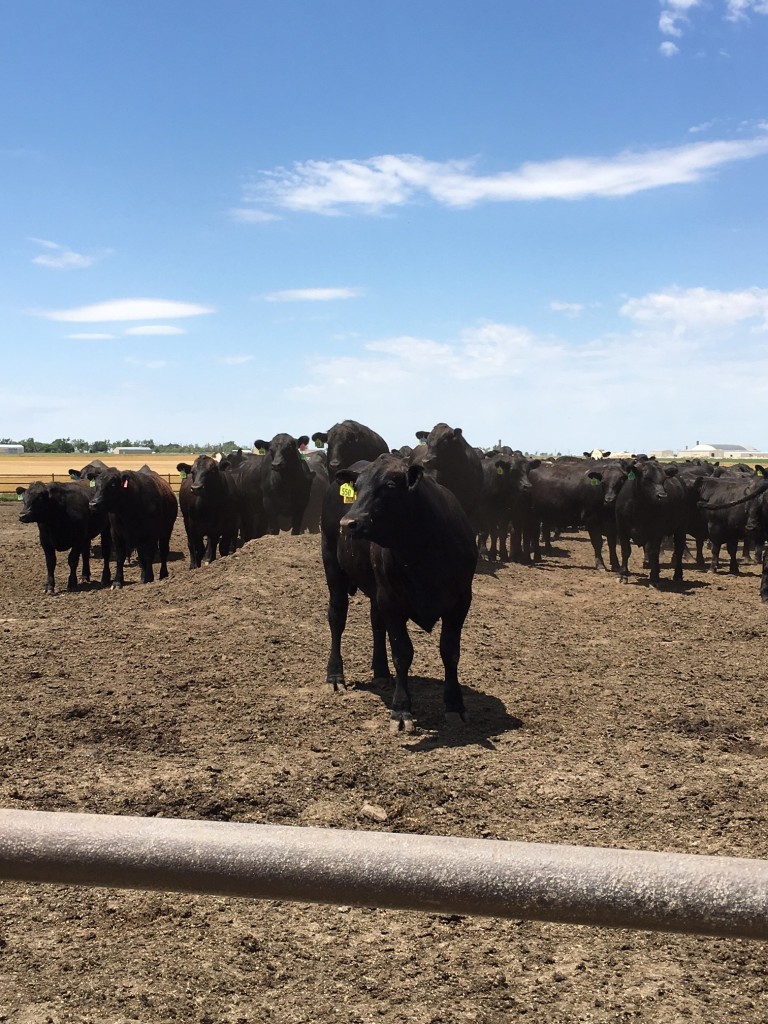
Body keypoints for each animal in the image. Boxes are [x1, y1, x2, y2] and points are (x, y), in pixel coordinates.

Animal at [323, 454, 475, 729]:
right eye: (357, 487)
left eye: (390, 486)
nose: (348, 523)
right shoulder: (392, 602)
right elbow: (402, 653)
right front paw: (401, 710)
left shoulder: (460, 602)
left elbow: (450, 652)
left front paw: (455, 705)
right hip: (333, 566)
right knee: (337, 617)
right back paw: (335, 676)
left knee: (376, 624)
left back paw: (381, 673)